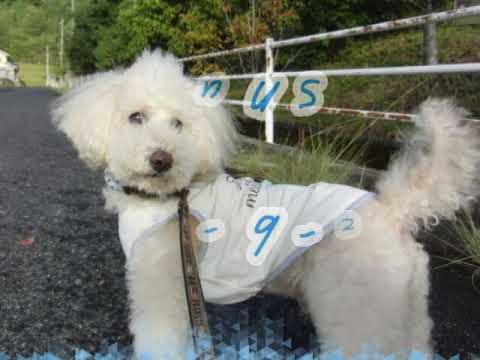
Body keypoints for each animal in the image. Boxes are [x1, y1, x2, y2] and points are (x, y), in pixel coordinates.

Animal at [50, 51, 478, 360]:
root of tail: (393, 210)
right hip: (405, 308)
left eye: (178, 125)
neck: (170, 197)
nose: (162, 159)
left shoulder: (164, 286)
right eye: (134, 117)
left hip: (359, 309)